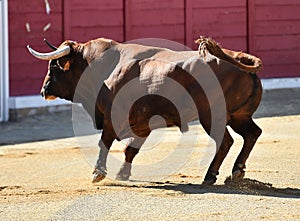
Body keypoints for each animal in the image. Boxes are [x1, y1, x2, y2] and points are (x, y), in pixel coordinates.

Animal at [27, 36, 262, 185]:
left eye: (54, 65)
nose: (43, 90)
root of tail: (239, 58)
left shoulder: (112, 117)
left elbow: (105, 143)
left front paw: (97, 173)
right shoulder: (142, 123)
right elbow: (131, 149)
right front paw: (122, 173)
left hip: (212, 115)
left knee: (225, 141)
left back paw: (210, 176)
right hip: (238, 116)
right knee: (252, 133)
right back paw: (236, 171)